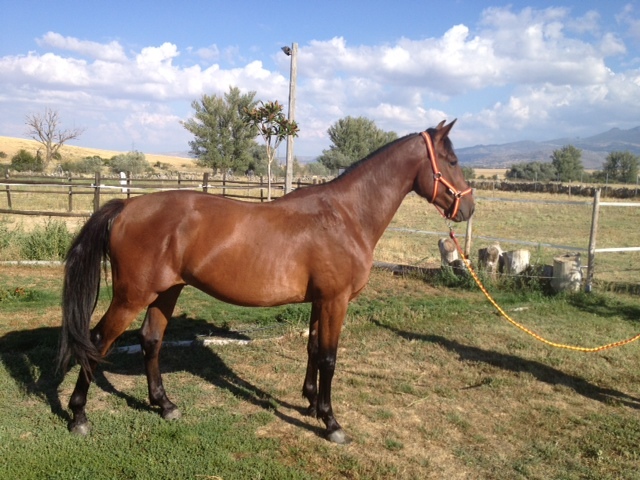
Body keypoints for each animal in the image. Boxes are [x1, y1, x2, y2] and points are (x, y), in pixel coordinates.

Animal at [58, 119, 474, 444]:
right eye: (452, 161)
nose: (468, 208)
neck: (345, 215)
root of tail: (126, 206)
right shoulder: (335, 300)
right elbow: (329, 357)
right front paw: (331, 422)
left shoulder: (320, 301)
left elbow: (312, 349)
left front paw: (310, 403)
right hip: (133, 296)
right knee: (98, 341)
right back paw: (78, 416)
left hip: (166, 292)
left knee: (150, 341)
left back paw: (165, 405)